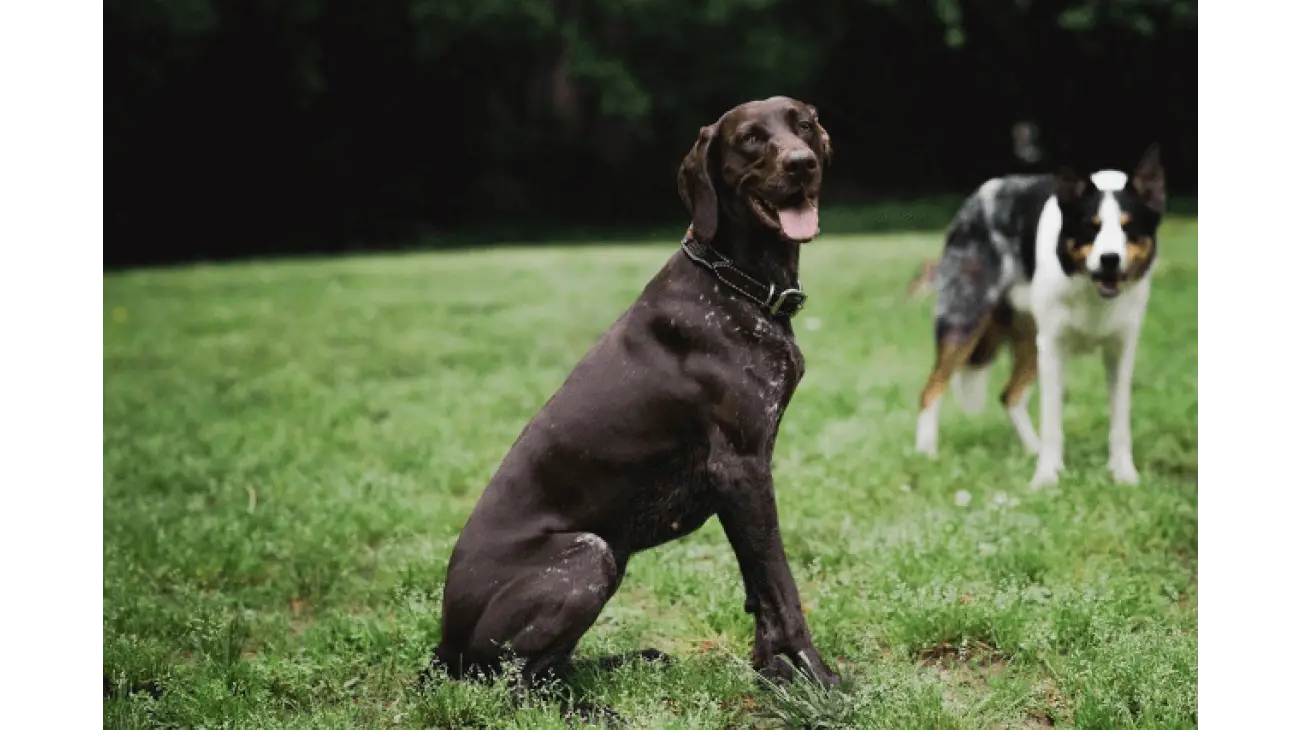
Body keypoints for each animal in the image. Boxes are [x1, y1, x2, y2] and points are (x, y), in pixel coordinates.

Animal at [431, 96, 837, 706]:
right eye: (750, 138)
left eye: (804, 124)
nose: (801, 164)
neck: (734, 281)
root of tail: (443, 649)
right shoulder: (742, 469)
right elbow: (782, 590)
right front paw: (821, 683)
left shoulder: (738, 485)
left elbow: (760, 592)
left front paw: (775, 675)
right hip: (589, 555)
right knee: (517, 685)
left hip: (608, 554)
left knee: (552, 668)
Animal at [915, 144, 1170, 485]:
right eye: (1091, 227)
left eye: (1129, 228)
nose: (1110, 260)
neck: (1090, 289)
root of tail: (976, 199)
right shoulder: (1053, 349)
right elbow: (1052, 420)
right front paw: (1047, 477)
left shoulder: (1120, 351)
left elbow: (1120, 422)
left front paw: (1123, 474)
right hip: (964, 322)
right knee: (931, 389)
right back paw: (926, 451)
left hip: (1028, 339)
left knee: (1009, 396)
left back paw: (1031, 449)